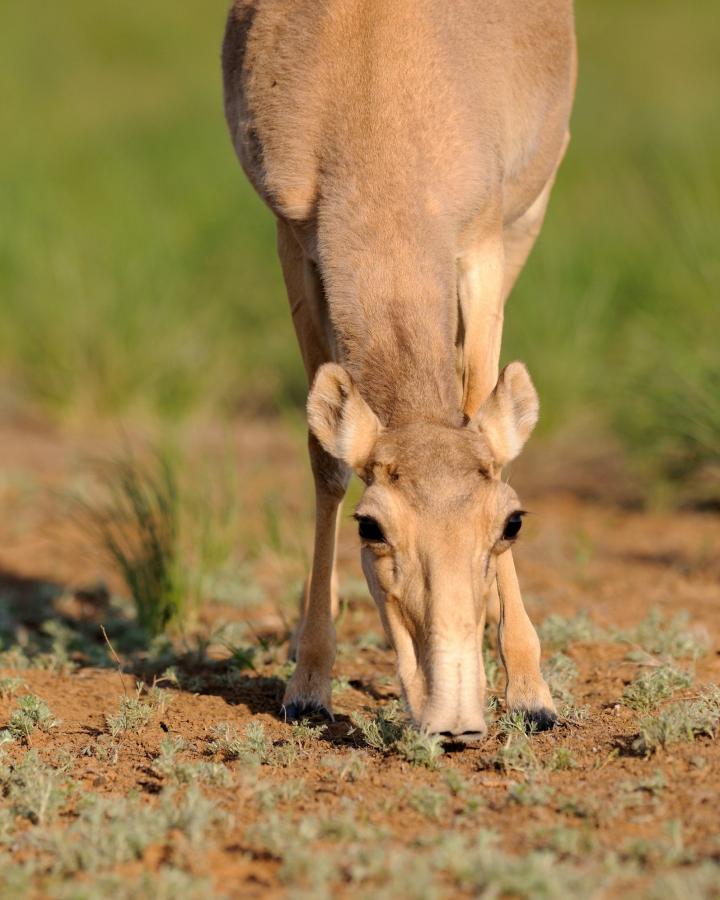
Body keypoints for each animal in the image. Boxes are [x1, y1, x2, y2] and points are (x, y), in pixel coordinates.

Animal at [222, 0, 576, 740]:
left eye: (512, 523)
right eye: (371, 526)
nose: (455, 719)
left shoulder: (482, 244)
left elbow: (489, 420)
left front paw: (532, 694)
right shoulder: (295, 241)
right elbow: (325, 459)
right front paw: (307, 686)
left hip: (529, 213)